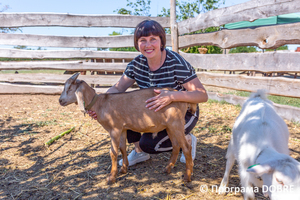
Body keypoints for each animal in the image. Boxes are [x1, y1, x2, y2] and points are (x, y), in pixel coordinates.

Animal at [59, 72, 197, 184]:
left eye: (70, 88)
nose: (60, 101)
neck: (99, 104)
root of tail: (182, 97)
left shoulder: (114, 129)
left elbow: (113, 152)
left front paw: (111, 177)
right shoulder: (122, 128)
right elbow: (122, 148)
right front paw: (123, 169)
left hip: (176, 123)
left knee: (186, 147)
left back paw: (187, 176)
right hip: (169, 126)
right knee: (176, 145)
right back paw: (167, 169)